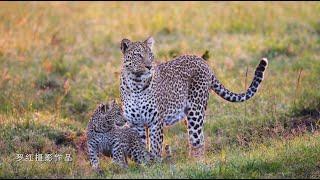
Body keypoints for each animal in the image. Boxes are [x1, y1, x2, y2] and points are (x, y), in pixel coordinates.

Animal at [119, 37, 266, 159]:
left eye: (150, 55)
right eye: (138, 55)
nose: (149, 66)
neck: (136, 85)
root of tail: (203, 61)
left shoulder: (156, 121)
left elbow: (155, 146)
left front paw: (155, 164)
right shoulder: (136, 123)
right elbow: (140, 147)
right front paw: (143, 166)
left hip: (196, 112)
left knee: (198, 140)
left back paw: (196, 164)